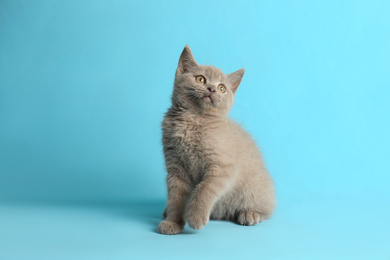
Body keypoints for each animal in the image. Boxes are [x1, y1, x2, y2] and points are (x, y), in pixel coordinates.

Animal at [157, 45, 276, 235]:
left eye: (222, 88)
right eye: (200, 79)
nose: (212, 89)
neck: (194, 119)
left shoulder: (223, 168)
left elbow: (204, 189)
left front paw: (195, 216)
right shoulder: (175, 168)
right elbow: (175, 197)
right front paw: (173, 222)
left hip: (255, 190)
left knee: (266, 208)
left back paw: (249, 214)